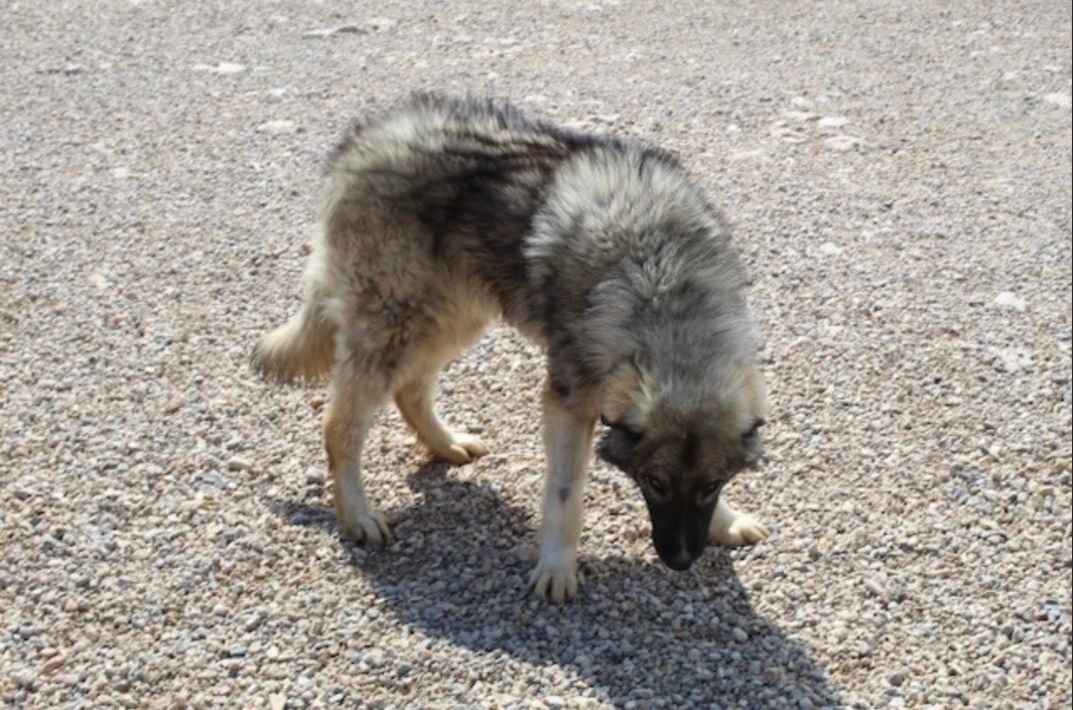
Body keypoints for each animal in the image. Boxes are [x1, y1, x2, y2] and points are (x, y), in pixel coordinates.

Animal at [252, 94, 770, 603]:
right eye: (655, 482)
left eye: (712, 483)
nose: (680, 561)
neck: (660, 276)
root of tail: (363, 139)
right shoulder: (567, 404)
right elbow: (565, 493)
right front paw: (556, 569)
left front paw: (726, 520)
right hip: (394, 329)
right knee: (340, 426)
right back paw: (358, 516)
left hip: (452, 319)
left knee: (411, 390)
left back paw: (446, 444)